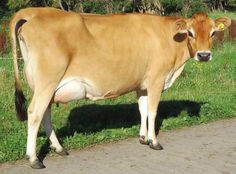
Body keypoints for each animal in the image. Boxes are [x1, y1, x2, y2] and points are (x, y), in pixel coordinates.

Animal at [10, 7, 230, 169]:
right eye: (190, 33)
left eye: (213, 33)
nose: (204, 55)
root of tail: (33, 12)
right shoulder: (156, 79)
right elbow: (153, 111)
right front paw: (154, 141)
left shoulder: (142, 84)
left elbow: (142, 110)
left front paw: (143, 137)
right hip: (47, 81)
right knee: (35, 113)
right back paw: (33, 159)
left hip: (46, 86)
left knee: (45, 113)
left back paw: (58, 148)